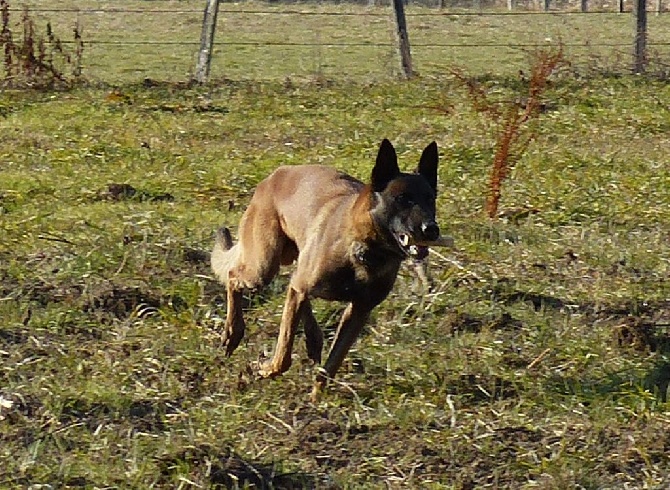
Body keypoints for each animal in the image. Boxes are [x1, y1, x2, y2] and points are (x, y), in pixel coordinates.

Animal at [211, 139, 452, 402]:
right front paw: (264, 369)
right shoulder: (309, 288)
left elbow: (332, 363)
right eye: (402, 199)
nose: (431, 230)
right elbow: (283, 354)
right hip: (263, 265)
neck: (365, 250)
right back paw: (232, 333)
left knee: (291, 288)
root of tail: (276, 174)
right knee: (235, 278)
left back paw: (312, 339)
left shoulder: (359, 311)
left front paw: (315, 400)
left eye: (430, 199)